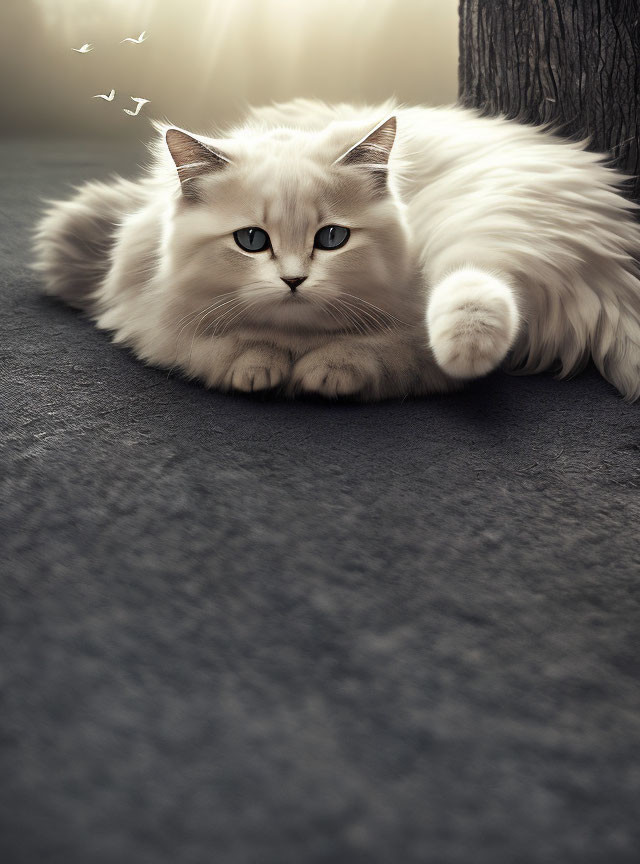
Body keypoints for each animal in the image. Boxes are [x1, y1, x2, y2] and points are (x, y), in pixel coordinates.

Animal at [32, 97, 640, 398]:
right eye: (251, 241)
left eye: (331, 239)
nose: (294, 280)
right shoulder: (150, 317)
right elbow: (214, 348)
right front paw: (259, 368)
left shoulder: (405, 342)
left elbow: (383, 355)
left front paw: (319, 374)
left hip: (479, 232)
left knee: (472, 310)